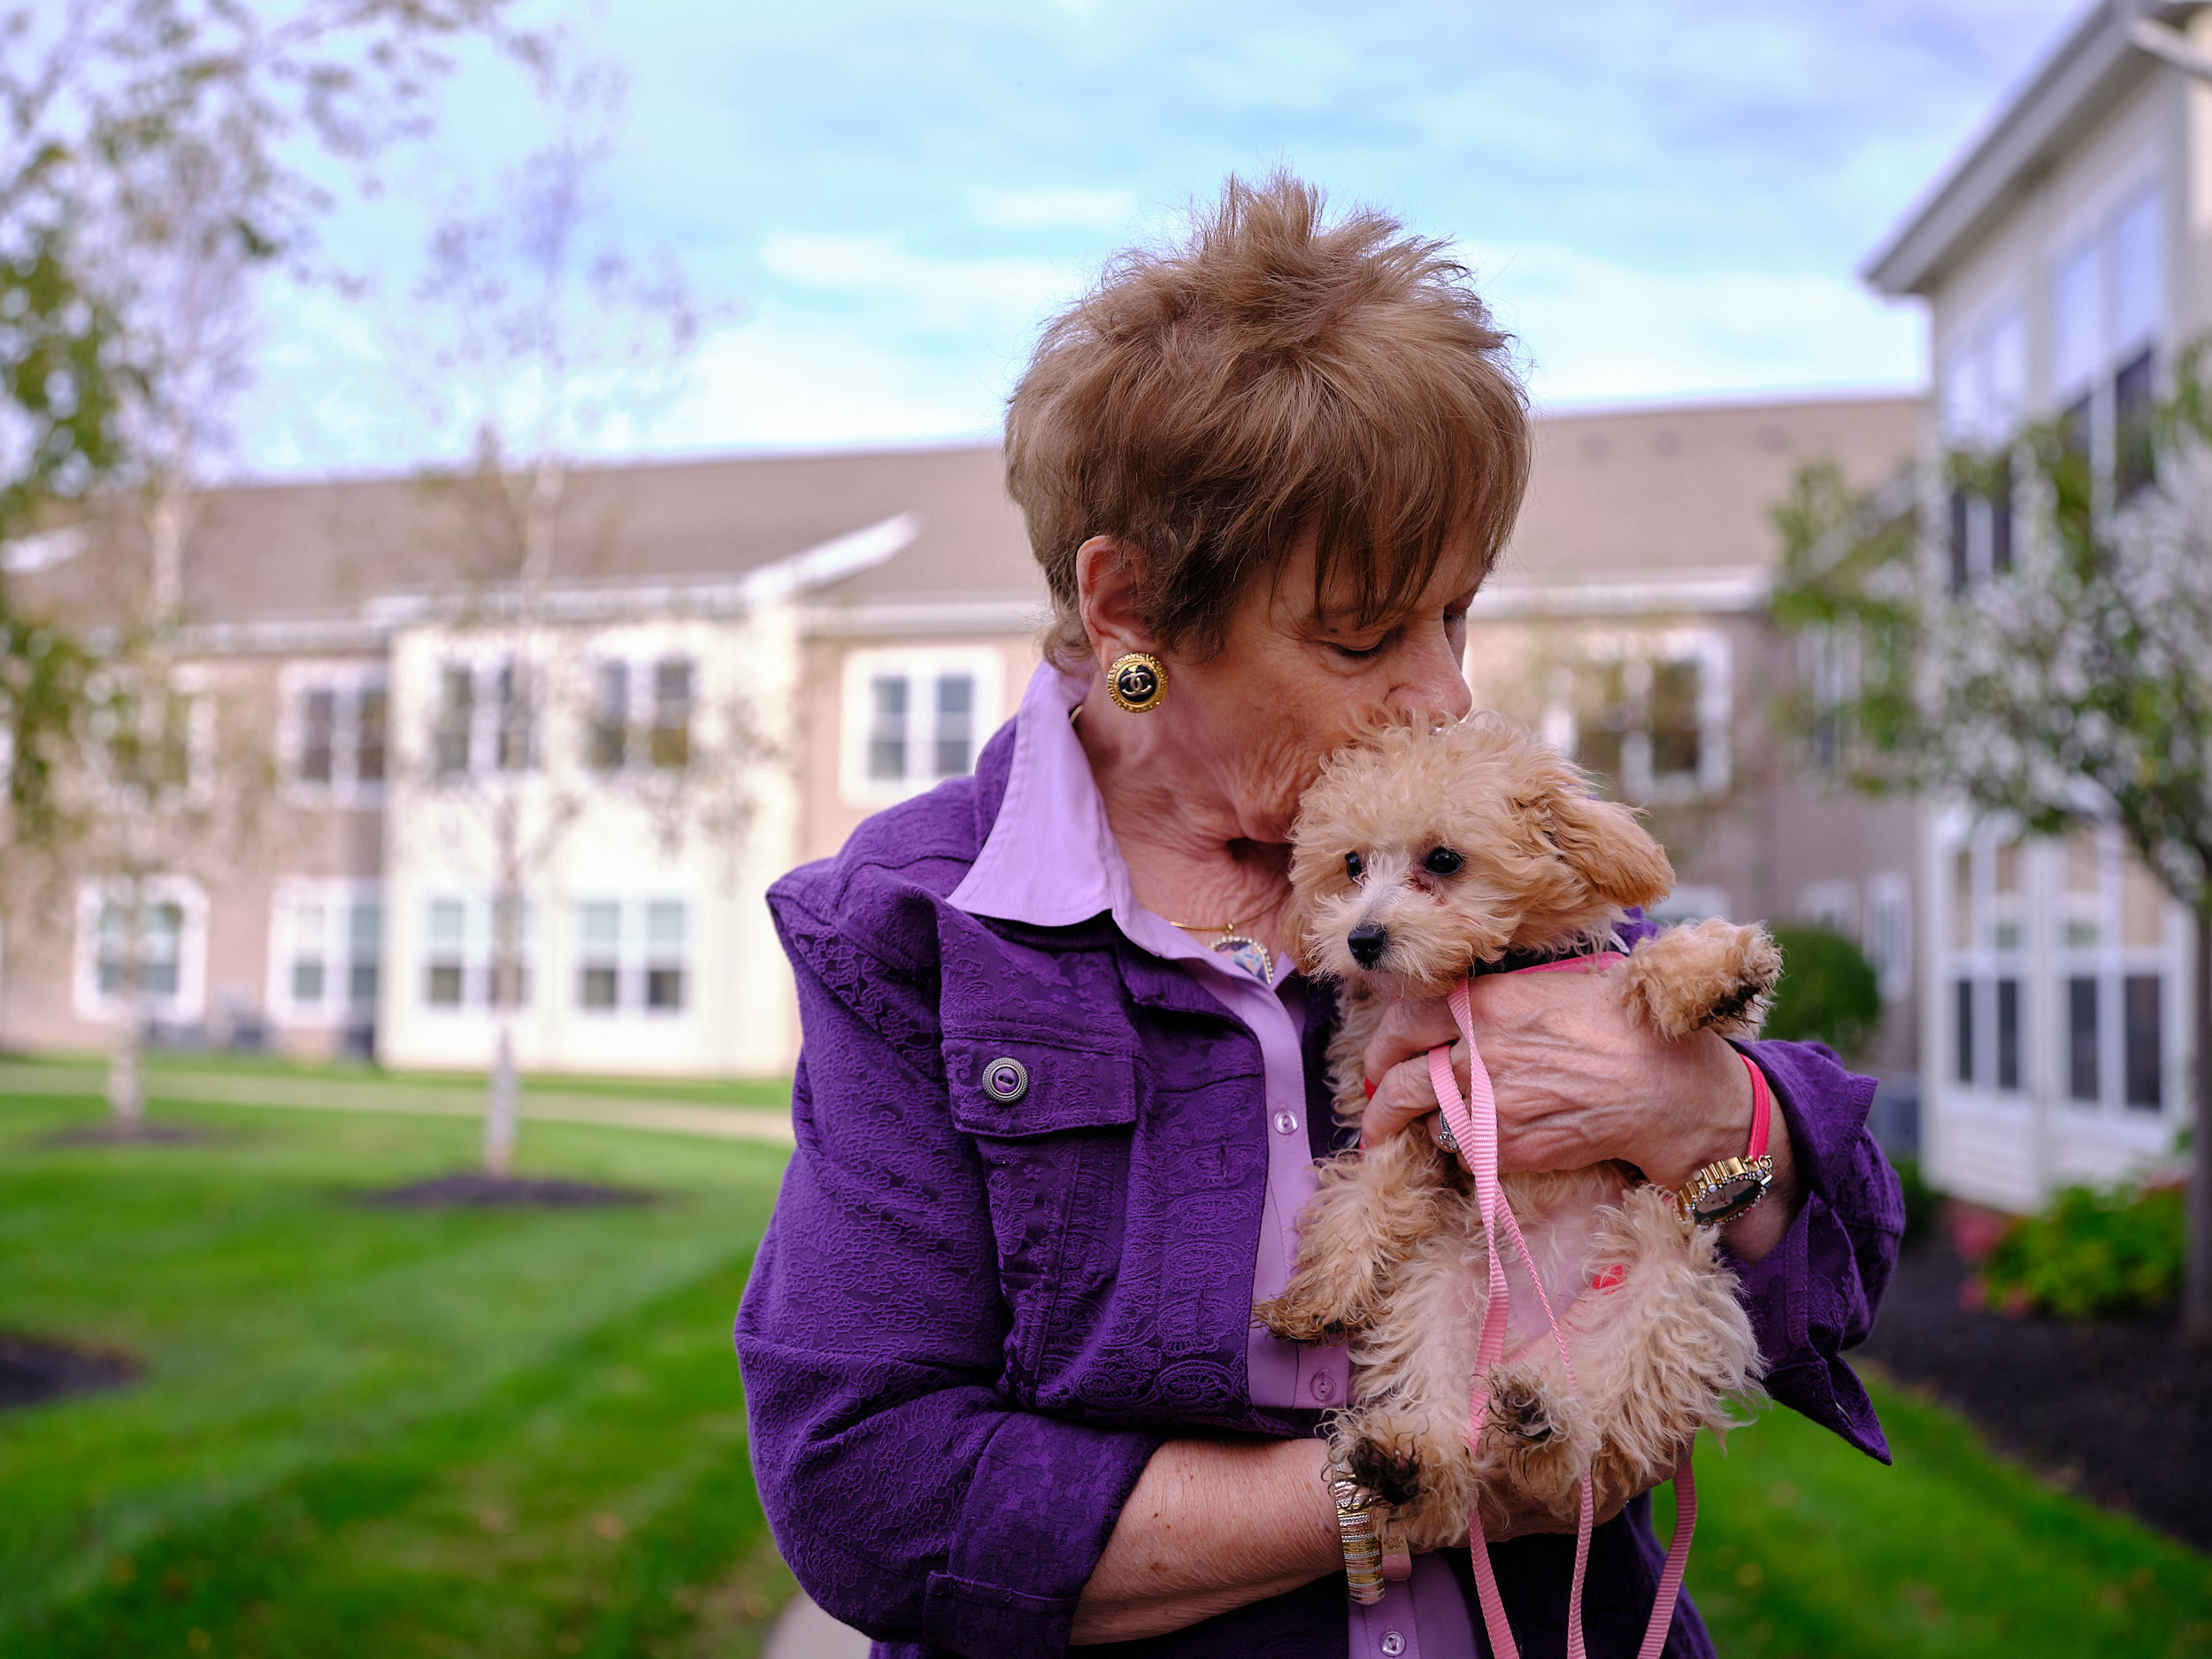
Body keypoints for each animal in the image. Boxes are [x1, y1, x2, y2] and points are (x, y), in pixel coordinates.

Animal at [1265, 712, 1778, 1548]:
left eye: (1444, 859)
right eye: (1351, 863)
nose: (1363, 938)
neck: (1476, 978)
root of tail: (1531, 1347)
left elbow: (1641, 968)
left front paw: (1713, 973)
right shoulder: (1396, 1099)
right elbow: (1363, 1193)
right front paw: (1320, 1294)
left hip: (1666, 1286)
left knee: (1588, 1450)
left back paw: (1540, 1423)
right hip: (1437, 1299)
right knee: (1470, 1455)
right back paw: (1410, 1461)